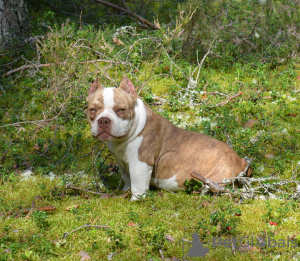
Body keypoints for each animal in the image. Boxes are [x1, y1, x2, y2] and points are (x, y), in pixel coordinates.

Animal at [86, 75, 253, 199]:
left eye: (121, 110)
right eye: (92, 110)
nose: (103, 120)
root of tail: (242, 161)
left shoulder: (140, 164)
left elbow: (138, 184)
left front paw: (136, 199)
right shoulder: (123, 163)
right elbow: (127, 178)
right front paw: (125, 191)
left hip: (215, 179)